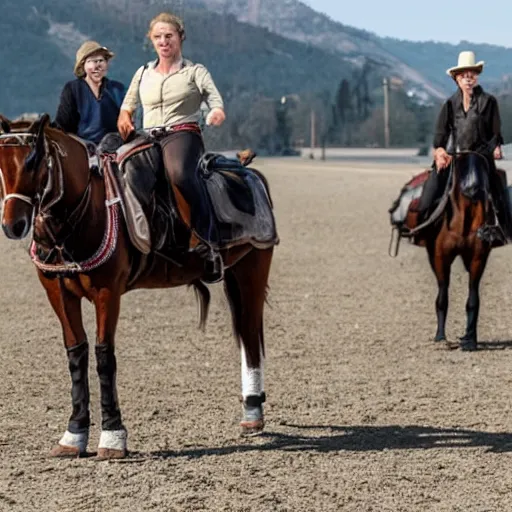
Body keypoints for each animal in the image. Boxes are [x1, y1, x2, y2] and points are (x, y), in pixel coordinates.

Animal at [1, 114, 276, 458]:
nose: (13, 225)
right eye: (1, 163)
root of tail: (248, 170)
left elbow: (105, 355)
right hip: (236, 273)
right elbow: (76, 353)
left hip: (253, 267)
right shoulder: (58, 293)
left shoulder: (108, 292)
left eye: (34, 161)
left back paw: (253, 413)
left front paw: (112, 437)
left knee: (250, 334)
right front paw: (73, 435)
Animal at [408, 152, 500, 352]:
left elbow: (473, 299)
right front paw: (440, 337)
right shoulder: (440, 257)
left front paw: (470, 340)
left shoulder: (478, 258)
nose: (473, 190)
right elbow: (442, 297)